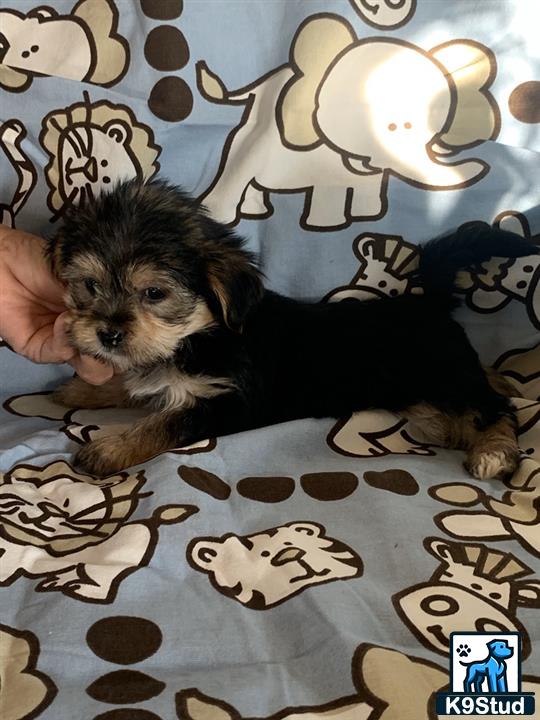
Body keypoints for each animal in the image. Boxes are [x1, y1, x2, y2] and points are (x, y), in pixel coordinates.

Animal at [48, 179, 536, 478]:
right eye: (90, 286)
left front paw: (111, 447)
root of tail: (428, 301)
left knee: (498, 408)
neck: (203, 334)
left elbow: (167, 420)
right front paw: (84, 389)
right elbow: (139, 385)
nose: (107, 334)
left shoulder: (231, 402)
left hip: (443, 377)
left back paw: (493, 452)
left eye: (153, 293)